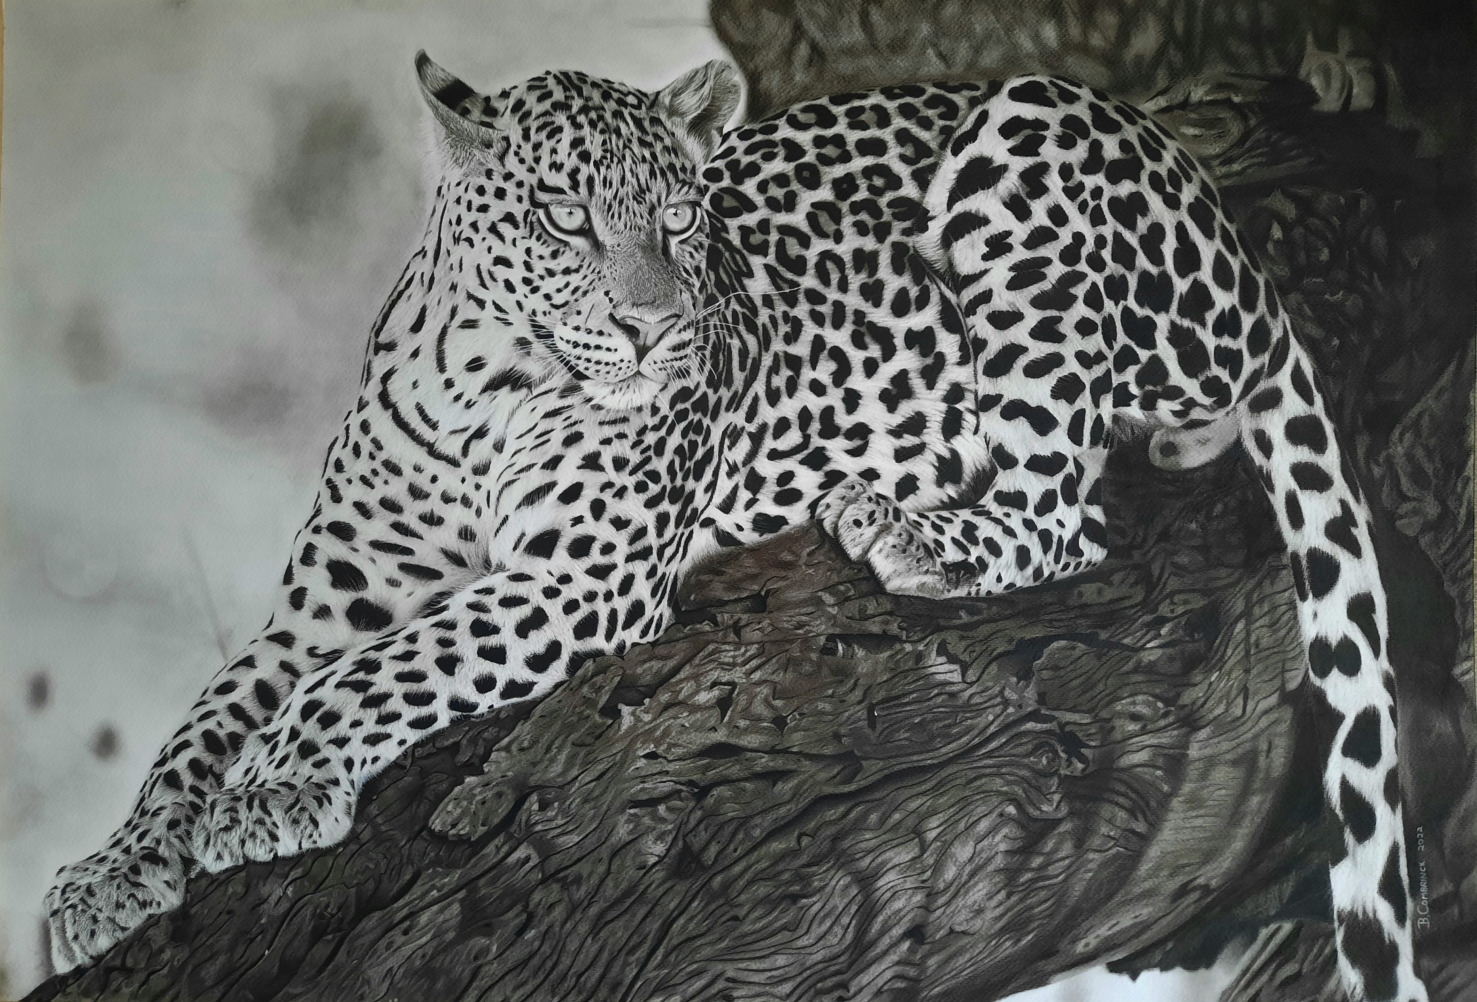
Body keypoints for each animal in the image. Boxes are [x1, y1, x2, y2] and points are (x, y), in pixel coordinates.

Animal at [44, 51, 1425, 1002]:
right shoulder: (317, 608)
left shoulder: (577, 579)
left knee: (1063, 511)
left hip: (1030, 141)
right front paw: (110, 875)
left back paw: (910, 528)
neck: (480, 378)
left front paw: (277, 784)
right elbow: (199, 726)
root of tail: (1230, 232)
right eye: (565, 219)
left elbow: (384, 671)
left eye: (680, 218)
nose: (659, 330)